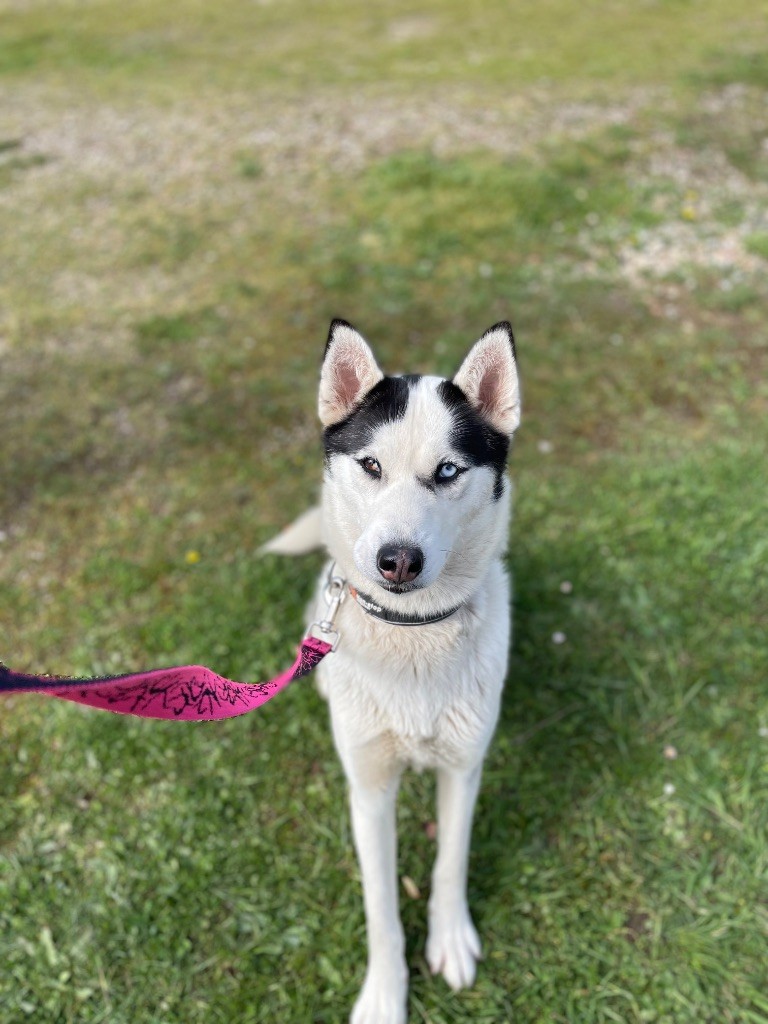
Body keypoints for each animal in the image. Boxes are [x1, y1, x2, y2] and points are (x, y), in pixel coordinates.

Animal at [264, 319, 520, 1024]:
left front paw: (450, 940)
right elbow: (380, 906)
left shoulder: (464, 769)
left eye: (448, 471)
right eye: (371, 466)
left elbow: (449, 864)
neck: (412, 637)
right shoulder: (370, 790)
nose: (397, 561)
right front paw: (384, 993)